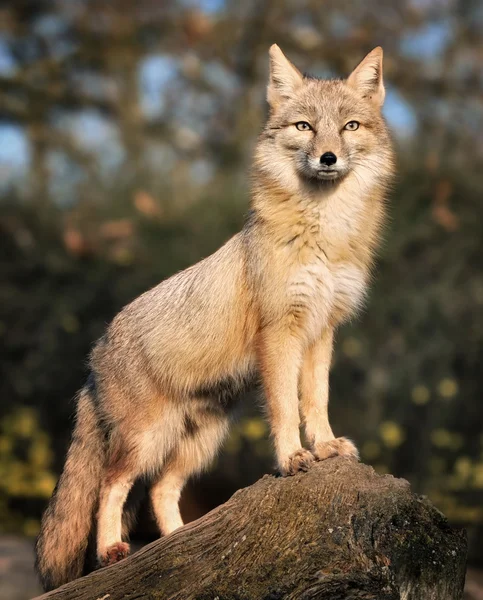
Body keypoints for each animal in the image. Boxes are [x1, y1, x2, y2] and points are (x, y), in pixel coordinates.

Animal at [35, 47, 398, 592]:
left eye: (349, 126)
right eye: (306, 127)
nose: (328, 158)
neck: (324, 236)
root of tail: (95, 355)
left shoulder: (321, 333)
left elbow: (315, 402)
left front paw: (326, 446)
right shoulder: (281, 333)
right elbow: (285, 409)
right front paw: (292, 458)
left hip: (198, 445)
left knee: (161, 493)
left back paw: (180, 547)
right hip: (146, 441)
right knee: (110, 487)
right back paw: (111, 551)